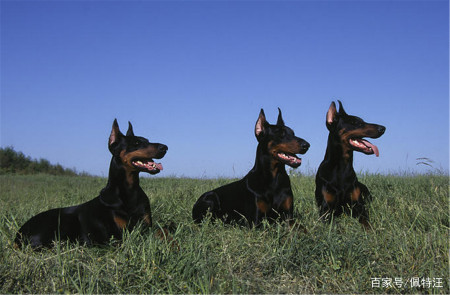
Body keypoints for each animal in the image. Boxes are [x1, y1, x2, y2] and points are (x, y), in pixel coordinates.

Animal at [15, 119, 169, 249]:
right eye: (136, 143)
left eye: (147, 140)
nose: (165, 147)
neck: (130, 190)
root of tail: (18, 236)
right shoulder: (121, 235)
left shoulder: (146, 226)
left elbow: (164, 231)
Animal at [314, 100, 384, 228]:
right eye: (355, 123)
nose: (383, 128)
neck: (341, 167)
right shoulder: (326, 210)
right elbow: (334, 225)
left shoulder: (358, 206)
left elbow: (366, 221)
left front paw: (370, 230)